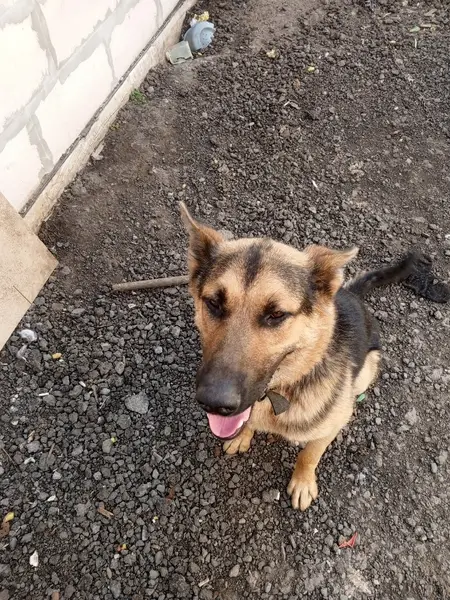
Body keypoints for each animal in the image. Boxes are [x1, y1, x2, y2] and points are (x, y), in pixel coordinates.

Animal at [180, 202, 446, 510]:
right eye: (213, 303)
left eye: (276, 315)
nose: (214, 403)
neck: (280, 391)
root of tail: (349, 293)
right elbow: (247, 422)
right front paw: (243, 435)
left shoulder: (328, 429)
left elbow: (309, 455)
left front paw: (303, 482)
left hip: (368, 367)